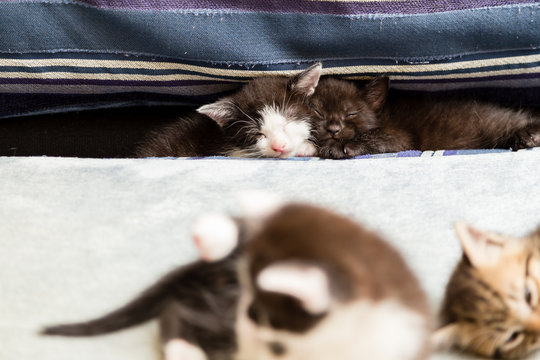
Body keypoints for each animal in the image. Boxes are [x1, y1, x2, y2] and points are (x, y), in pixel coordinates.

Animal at [308, 76, 540, 158]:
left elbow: (376, 134)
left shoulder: (403, 136)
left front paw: (338, 146)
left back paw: (529, 135)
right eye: (318, 112)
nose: (334, 129)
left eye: (351, 113)